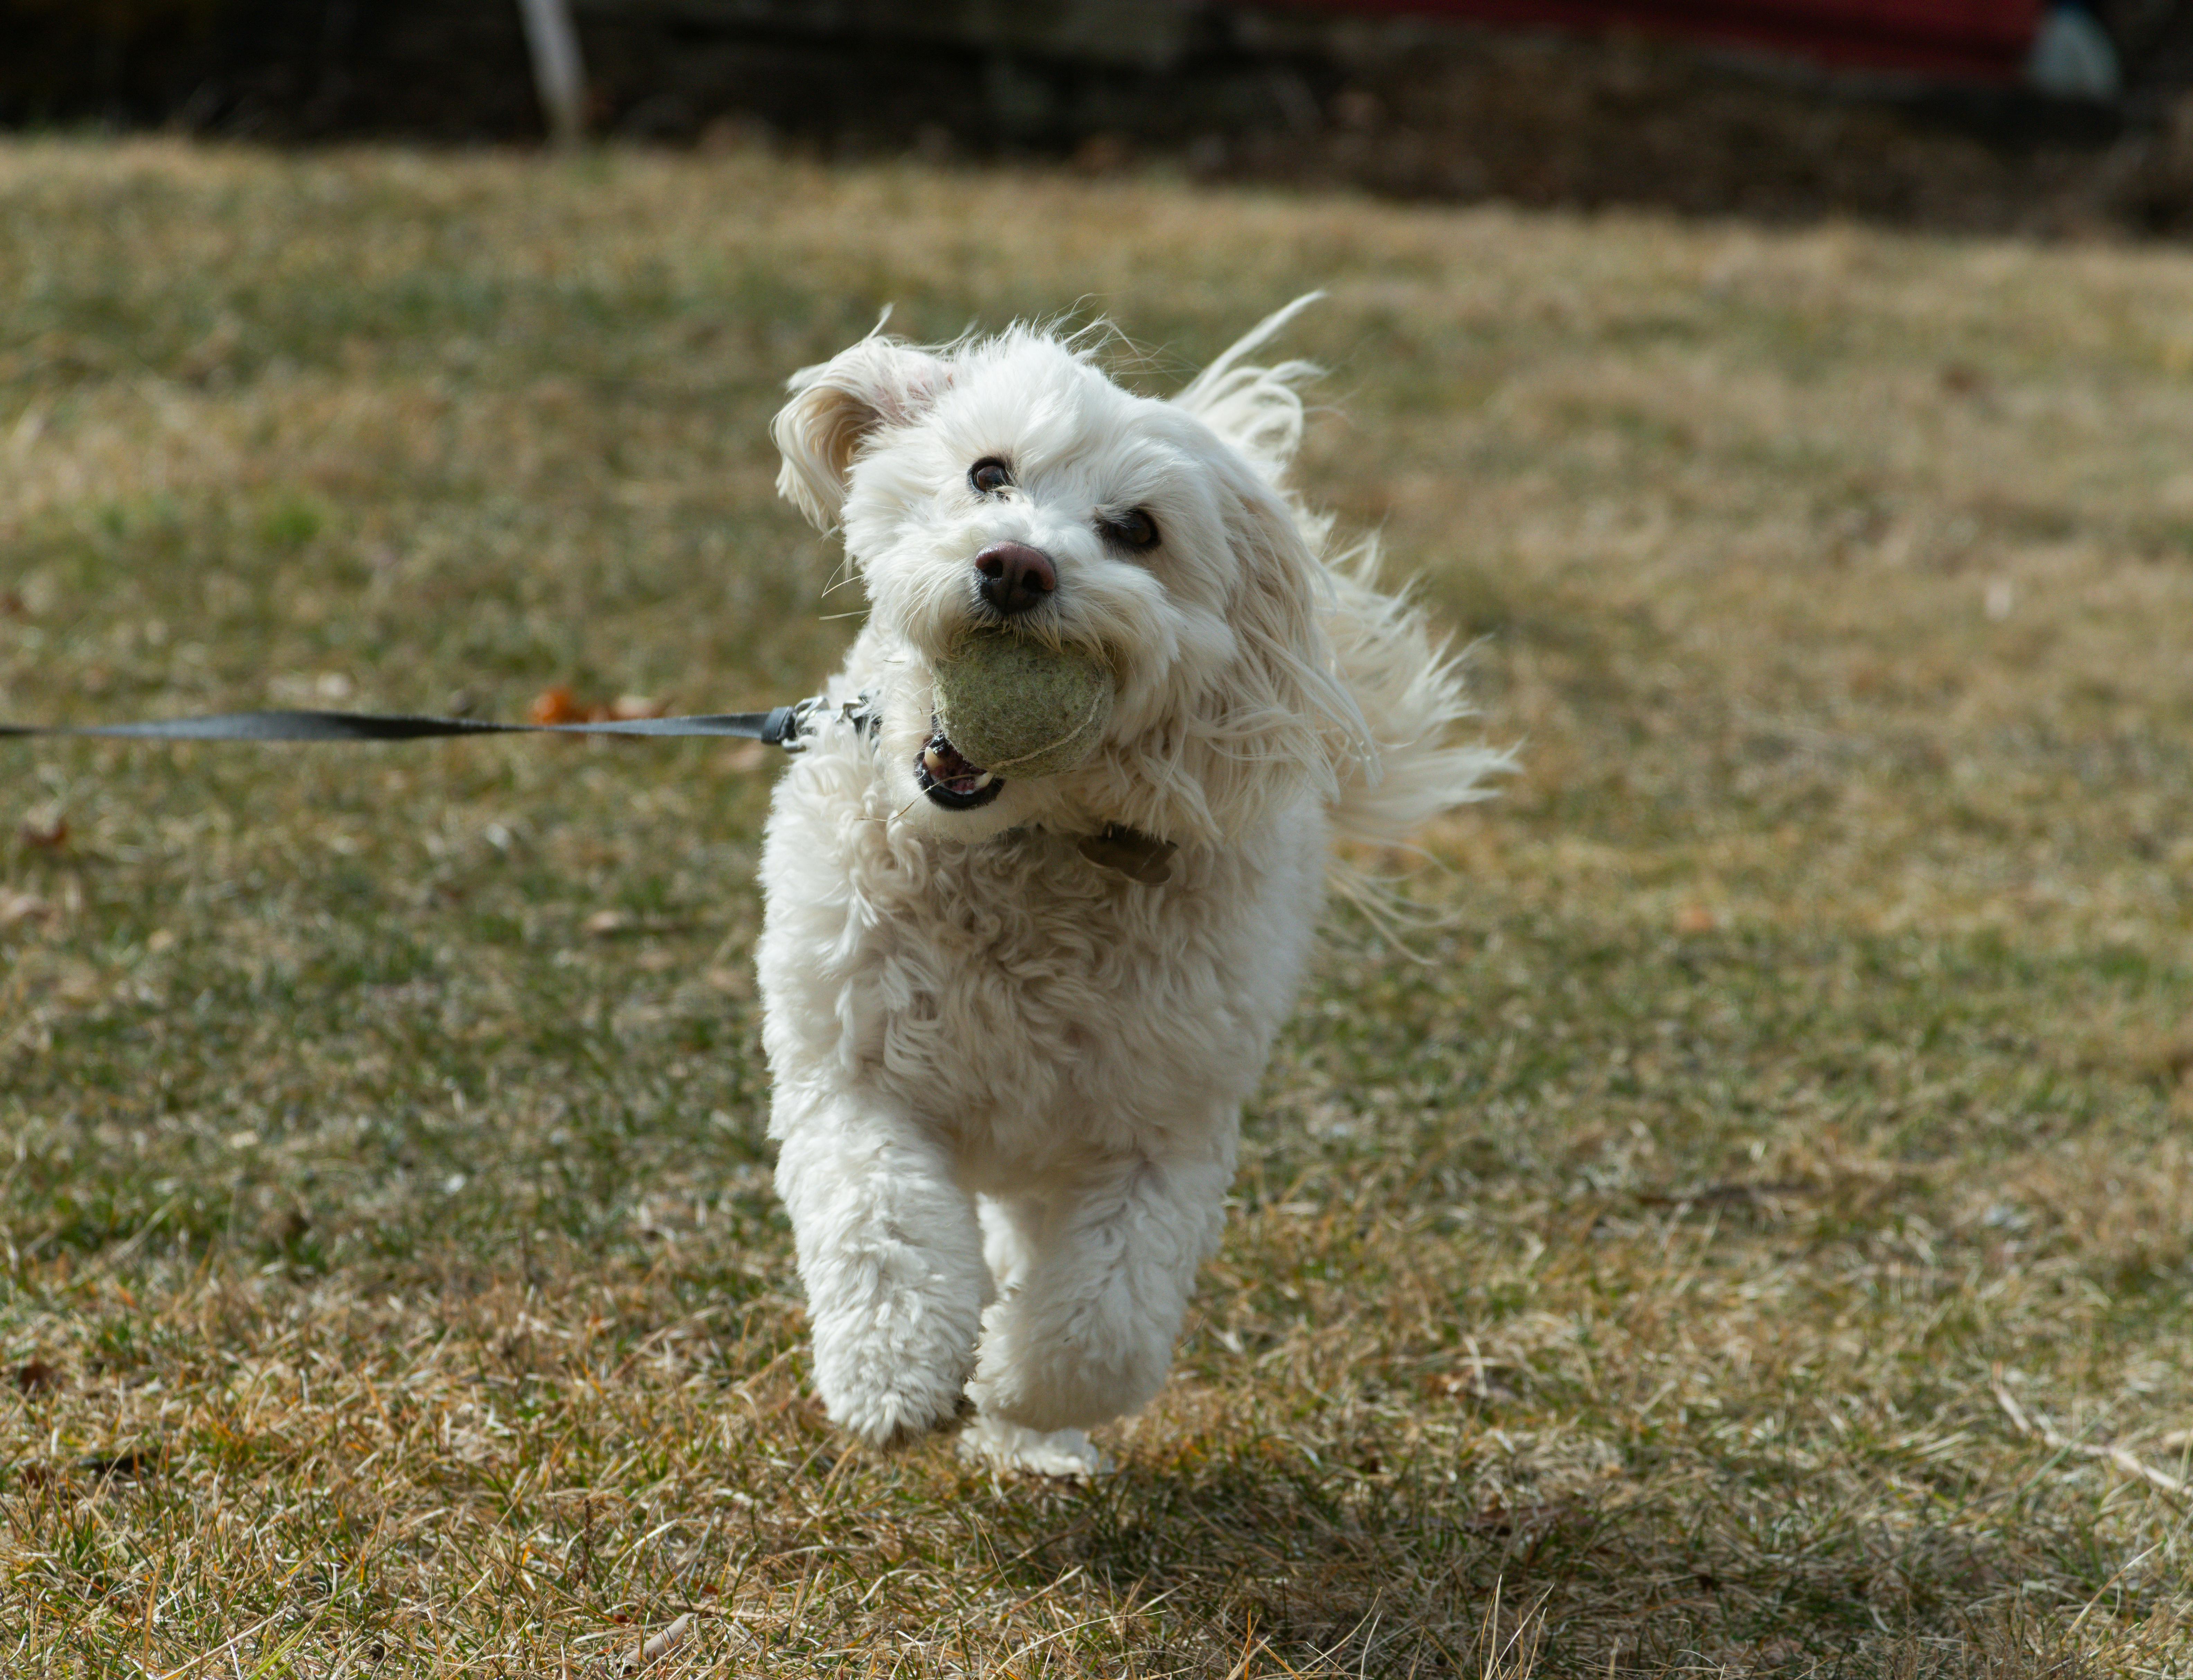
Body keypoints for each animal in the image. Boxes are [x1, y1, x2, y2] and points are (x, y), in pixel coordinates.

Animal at [759, 298, 1509, 1474]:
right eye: (988, 473)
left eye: (1138, 530)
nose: (1017, 566)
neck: (1022, 845)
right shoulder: (850, 1074)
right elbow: (880, 1224)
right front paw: (895, 1376)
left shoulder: (1162, 1130)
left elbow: (1103, 1321)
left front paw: (1018, 1387)